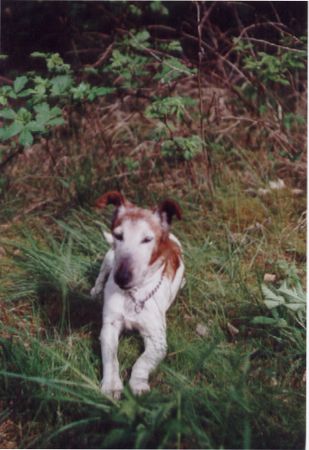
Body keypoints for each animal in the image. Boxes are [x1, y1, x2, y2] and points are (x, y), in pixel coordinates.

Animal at [90, 190, 184, 398]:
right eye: (118, 235)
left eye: (147, 239)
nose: (121, 278)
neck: (133, 295)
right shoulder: (109, 327)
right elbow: (111, 359)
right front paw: (111, 385)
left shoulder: (157, 340)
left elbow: (142, 362)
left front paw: (138, 383)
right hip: (109, 258)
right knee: (101, 274)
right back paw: (96, 290)